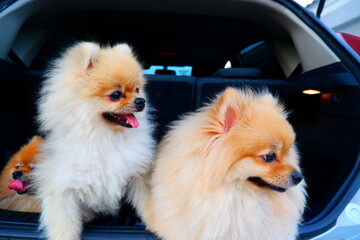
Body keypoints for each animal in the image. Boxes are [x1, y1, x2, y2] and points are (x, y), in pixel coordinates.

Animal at [34, 42, 156, 239]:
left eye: (138, 89)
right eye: (116, 95)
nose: (141, 101)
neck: (104, 137)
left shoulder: (139, 175)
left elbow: (149, 205)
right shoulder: (62, 188)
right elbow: (64, 223)